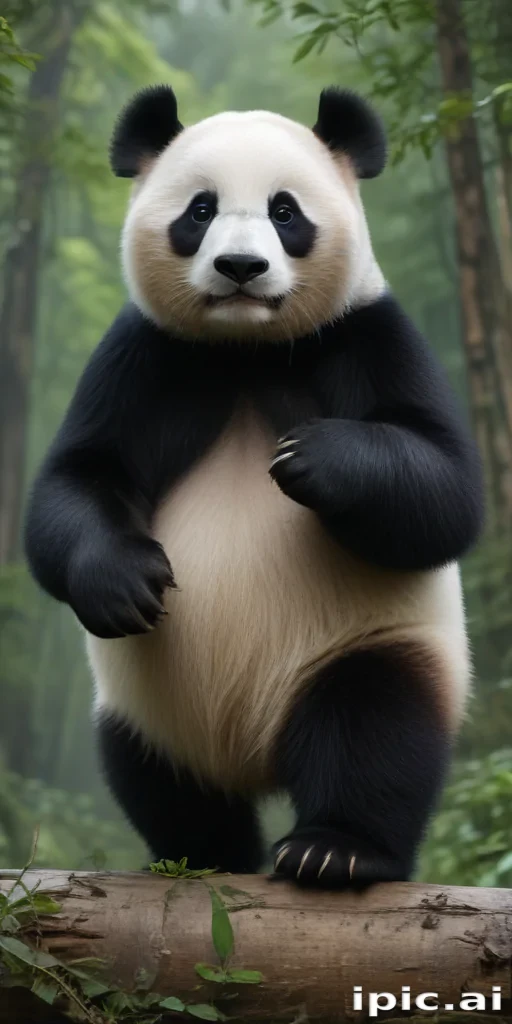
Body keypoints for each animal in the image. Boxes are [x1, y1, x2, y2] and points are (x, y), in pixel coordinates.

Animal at [24, 84, 484, 888]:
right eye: (200, 210)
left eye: (285, 212)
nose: (240, 266)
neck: (247, 348)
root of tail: (253, 755)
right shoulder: (147, 354)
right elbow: (77, 478)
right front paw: (125, 579)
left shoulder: (367, 333)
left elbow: (445, 491)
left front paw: (314, 458)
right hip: (145, 706)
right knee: (153, 774)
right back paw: (200, 855)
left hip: (365, 644)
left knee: (375, 729)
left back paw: (335, 850)